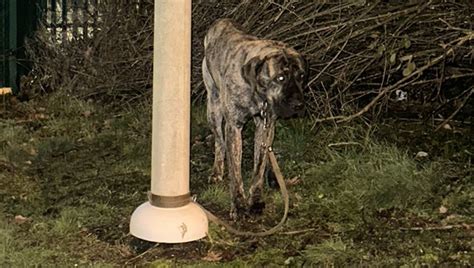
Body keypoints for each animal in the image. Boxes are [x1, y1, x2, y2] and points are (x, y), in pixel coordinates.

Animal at [201, 18, 306, 220]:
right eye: (280, 78)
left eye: (301, 76)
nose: (299, 104)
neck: (257, 91)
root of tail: (221, 22)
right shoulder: (234, 127)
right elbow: (236, 170)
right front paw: (239, 205)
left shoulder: (266, 125)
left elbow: (259, 166)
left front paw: (256, 200)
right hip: (214, 107)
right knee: (219, 142)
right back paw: (217, 170)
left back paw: (272, 175)